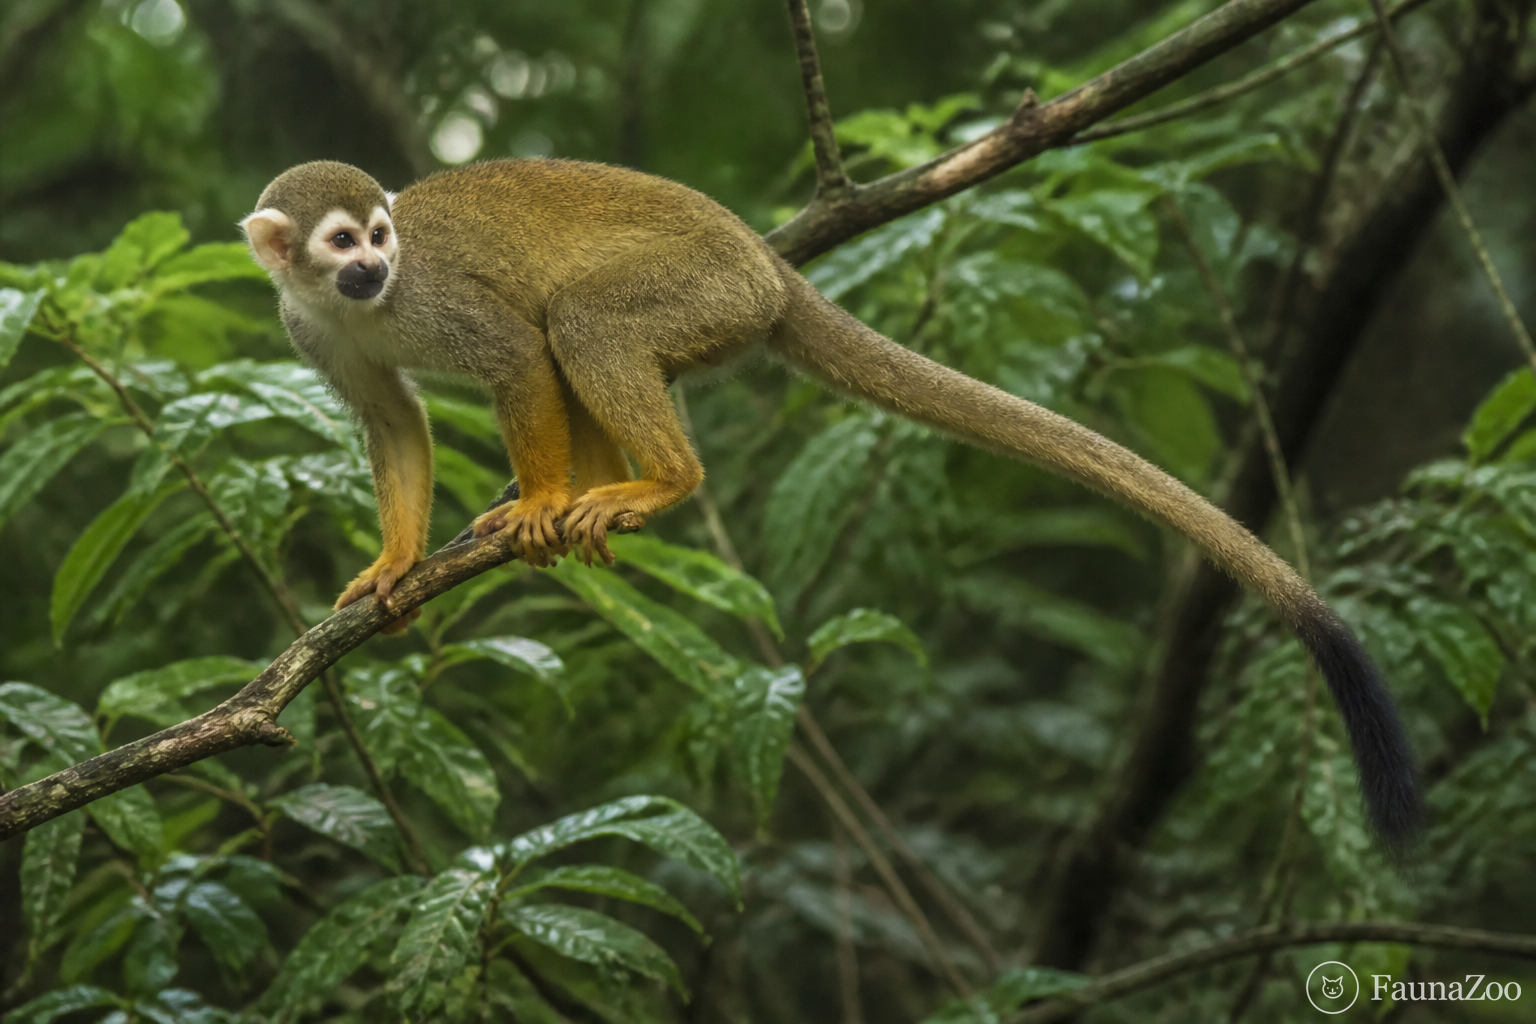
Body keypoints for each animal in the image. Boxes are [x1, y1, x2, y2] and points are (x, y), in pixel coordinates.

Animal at [242, 158, 1422, 846]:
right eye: (341, 243)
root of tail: (766, 264)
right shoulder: (309, 326)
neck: (362, 305)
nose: (375, 265)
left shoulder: (437, 296)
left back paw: (643, 484)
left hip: (699, 289)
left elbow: (517, 354)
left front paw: (534, 501)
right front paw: (396, 567)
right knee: (569, 329)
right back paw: (592, 494)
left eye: (382, 238)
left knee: (574, 319)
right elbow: (394, 422)